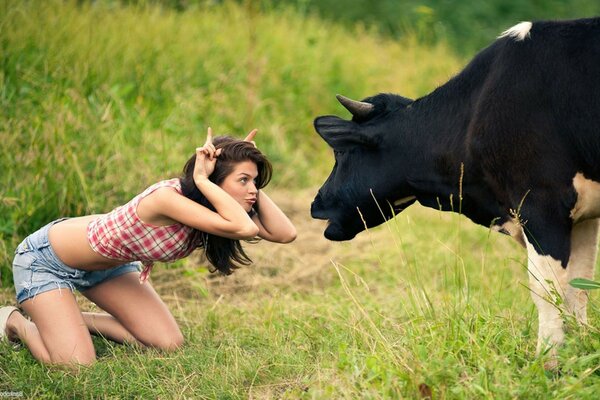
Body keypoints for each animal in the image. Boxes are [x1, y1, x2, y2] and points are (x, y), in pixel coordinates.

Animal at [312, 17, 600, 364]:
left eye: (341, 154)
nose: (316, 202)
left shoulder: (542, 203)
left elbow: (547, 289)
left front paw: (549, 360)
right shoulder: (583, 215)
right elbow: (579, 286)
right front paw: (579, 352)